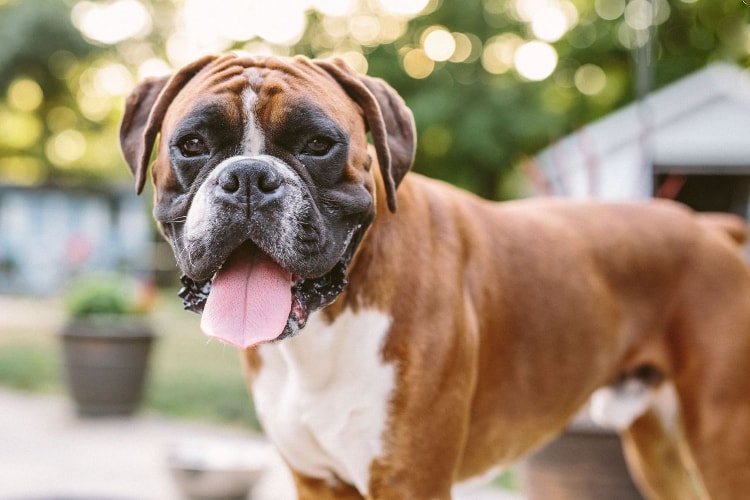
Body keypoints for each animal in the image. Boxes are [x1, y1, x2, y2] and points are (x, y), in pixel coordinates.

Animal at [120, 52, 750, 498]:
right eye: (192, 144)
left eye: (319, 144)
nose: (249, 177)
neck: (327, 326)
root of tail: (708, 226)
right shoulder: (318, 481)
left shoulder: (410, 479)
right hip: (657, 452)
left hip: (722, 440)